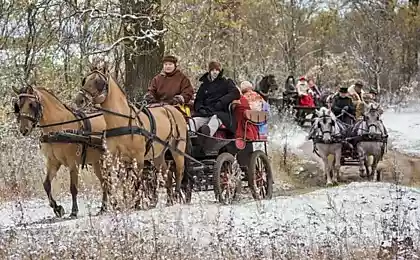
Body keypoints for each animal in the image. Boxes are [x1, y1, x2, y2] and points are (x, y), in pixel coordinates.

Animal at [13, 85, 108, 217]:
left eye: (31, 104)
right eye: (18, 105)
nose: (23, 130)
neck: (58, 129)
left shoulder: (73, 163)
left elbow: (73, 188)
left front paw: (74, 210)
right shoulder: (53, 162)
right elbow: (46, 184)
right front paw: (57, 208)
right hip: (97, 162)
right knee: (104, 182)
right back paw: (104, 207)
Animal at [75, 65, 190, 205]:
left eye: (98, 82)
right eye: (85, 80)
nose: (79, 100)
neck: (121, 121)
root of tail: (170, 108)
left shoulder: (138, 158)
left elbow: (136, 181)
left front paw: (137, 203)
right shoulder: (117, 158)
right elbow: (122, 181)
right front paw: (124, 202)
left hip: (178, 150)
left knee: (179, 172)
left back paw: (178, 196)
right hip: (159, 154)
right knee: (166, 174)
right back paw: (169, 201)